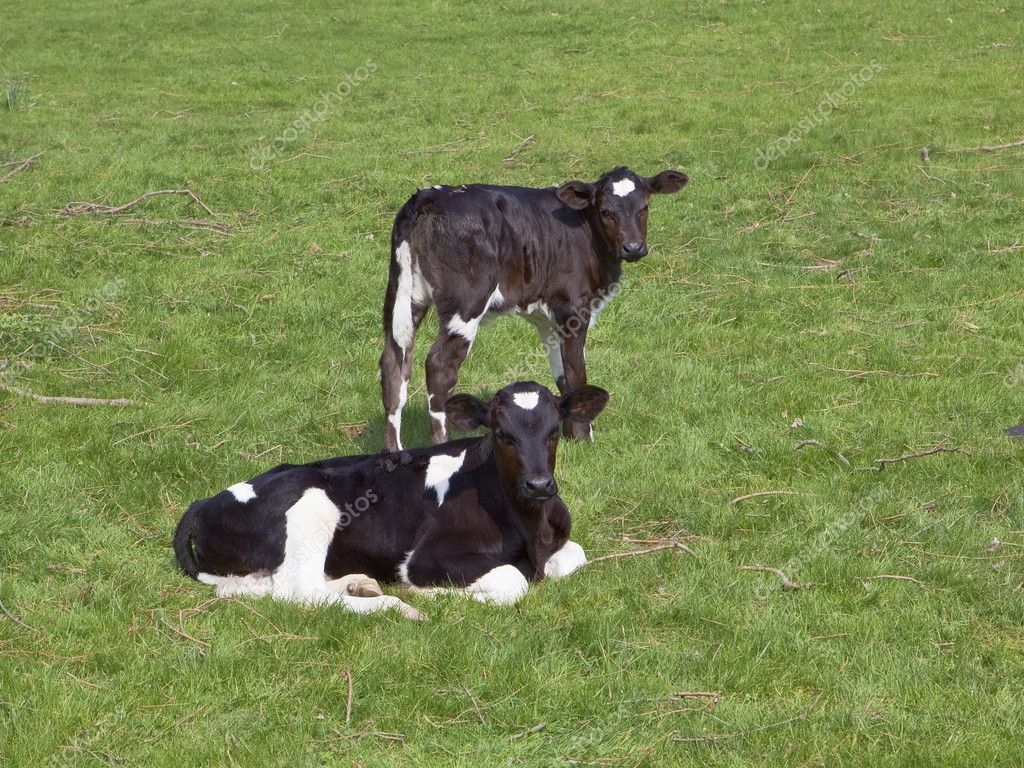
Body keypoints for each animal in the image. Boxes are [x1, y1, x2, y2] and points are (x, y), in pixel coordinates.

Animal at [172, 381, 609, 620]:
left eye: (554, 431)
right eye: (502, 433)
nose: (539, 485)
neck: (528, 528)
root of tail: (203, 503)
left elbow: (575, 556)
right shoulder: (427, 558)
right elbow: (512, 580)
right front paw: (424, 593)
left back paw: (360, 584)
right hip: (314, 505)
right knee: (300, 592)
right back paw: (392, 605)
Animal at [379, 165, 687, 452]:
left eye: (644, 207)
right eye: (606, 211)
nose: (633, 247)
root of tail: (428, 197)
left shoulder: (548, 317)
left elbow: (561, 373)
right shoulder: (574, 307)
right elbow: (576, 372)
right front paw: (583, 438)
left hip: (404, 296)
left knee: (394, 362)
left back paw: (394, 450)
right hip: (465, 304)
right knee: (440, 366)